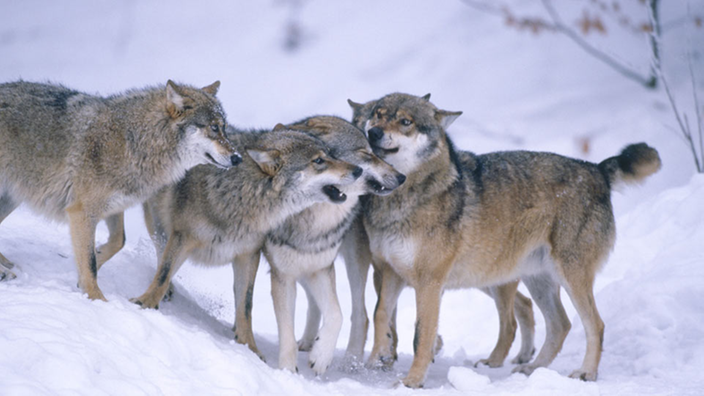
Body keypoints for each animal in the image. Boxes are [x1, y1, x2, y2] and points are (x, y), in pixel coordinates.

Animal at [0, 80, 239, 300]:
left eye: (225, 128)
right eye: (214, 127)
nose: (238, 158)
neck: (135, 142)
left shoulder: (113, 207)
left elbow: (118, 241)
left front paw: (94, 259)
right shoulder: (82, 212)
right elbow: (89, 264)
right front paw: (97, 299)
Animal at [133, 126, 364, 358]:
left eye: (331, 154)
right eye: (318, 160)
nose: (359, 170)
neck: (241, 194)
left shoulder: (248, 255)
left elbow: (246, 304)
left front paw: (249, 347)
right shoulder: (183, 236)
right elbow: (163, 274)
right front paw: (144, 303)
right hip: (158, 225)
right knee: (161, 254)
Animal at [258, 115, 404, 374]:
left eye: (374, 152)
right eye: (365, 153)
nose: (401, 178)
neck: (311, 217)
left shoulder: (321, 267)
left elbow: (336, 314)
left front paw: (321, 356)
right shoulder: (284, 273)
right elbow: (287, 331)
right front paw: (288, 371)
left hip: (354, 259)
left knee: (362, 314)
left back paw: (349, 362)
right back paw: (308, 341)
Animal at [350, 92, 664, 386]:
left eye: (406, 122)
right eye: (377, 115)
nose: (373, 132)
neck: (402, 197)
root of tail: (597, 169)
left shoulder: (429, 282)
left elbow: (421, 335)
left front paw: (412, 381)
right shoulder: (390, 272)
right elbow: (380, 314)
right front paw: (378, 358)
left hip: (567, 276)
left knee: (594, 324)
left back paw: (585, 373)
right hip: (533, 280)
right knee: (560, 324)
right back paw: (533, 369)